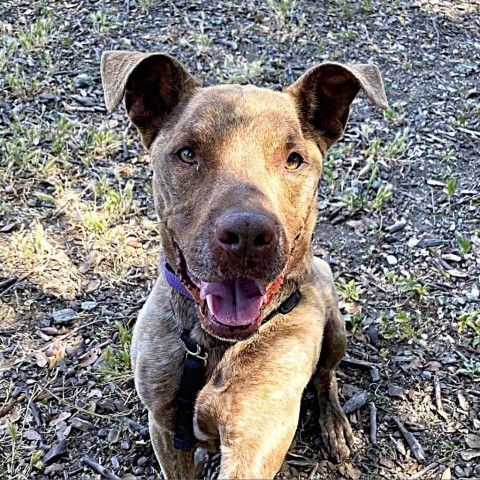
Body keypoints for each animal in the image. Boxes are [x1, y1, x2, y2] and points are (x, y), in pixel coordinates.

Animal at [100, 50, 386, 478]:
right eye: (187, 153)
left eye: (294, 160)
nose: (248, 235)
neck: (211, 347)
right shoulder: (165, 427)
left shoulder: (254, 446)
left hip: (335, 328)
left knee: (326, 376)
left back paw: (334, 423)